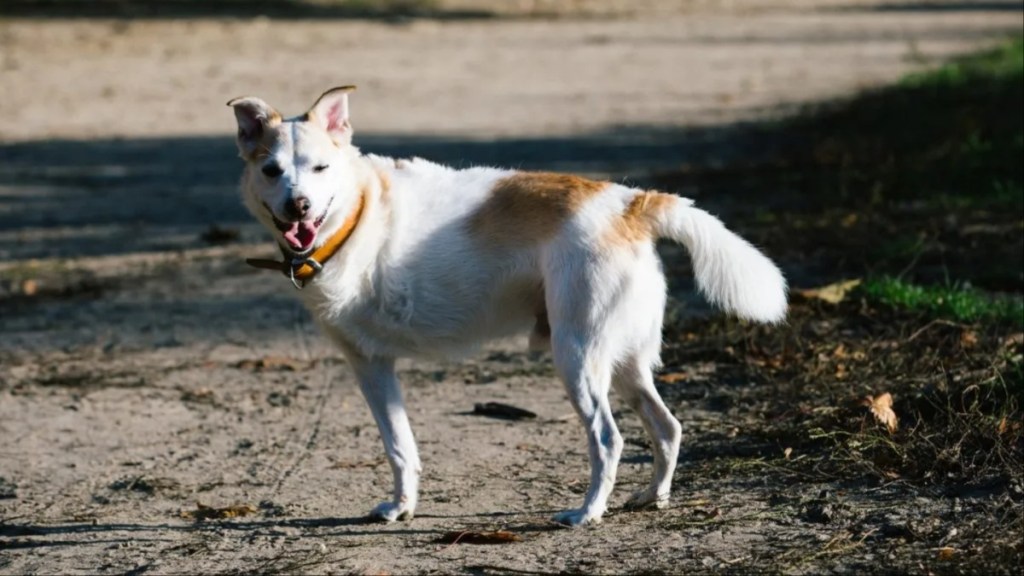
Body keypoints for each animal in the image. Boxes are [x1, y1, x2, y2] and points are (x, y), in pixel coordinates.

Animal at [228, 84, 786, 524]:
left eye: (321, 168)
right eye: (273, 170)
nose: (298, 206)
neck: (356, 214)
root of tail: (629, 203)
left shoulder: (368, 363)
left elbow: (396, 446)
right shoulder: (377, 368)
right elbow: (401, 447)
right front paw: (402, 507)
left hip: (578, 359)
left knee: (609, 440)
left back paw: (588, 513)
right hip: (625, 363)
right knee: (667, 428)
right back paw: (652, 497)